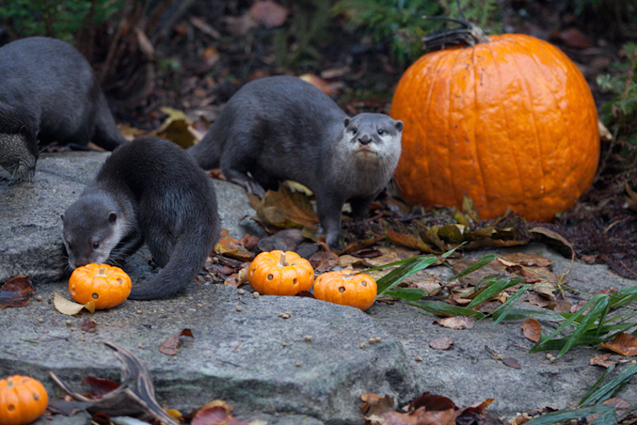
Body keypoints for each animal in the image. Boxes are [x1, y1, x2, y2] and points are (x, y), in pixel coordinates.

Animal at [61, 136, 220, 298]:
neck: (114, 187)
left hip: (157, 207)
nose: (80, 263)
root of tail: (196, 204)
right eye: (70, 244)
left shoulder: (130, 211)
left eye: (96, 244)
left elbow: (137, 237)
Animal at [185, 76, 402, 247]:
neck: (360, 182)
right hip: (246, 129)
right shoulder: (328, 187)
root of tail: (228, 108)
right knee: (228, 162)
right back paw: (250, 184)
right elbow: (329, 216)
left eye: (381, 131)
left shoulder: (371, 193)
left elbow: (362, 210)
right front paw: (334, 241)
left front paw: (365, 225)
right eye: (355, 129)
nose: (364, 138)